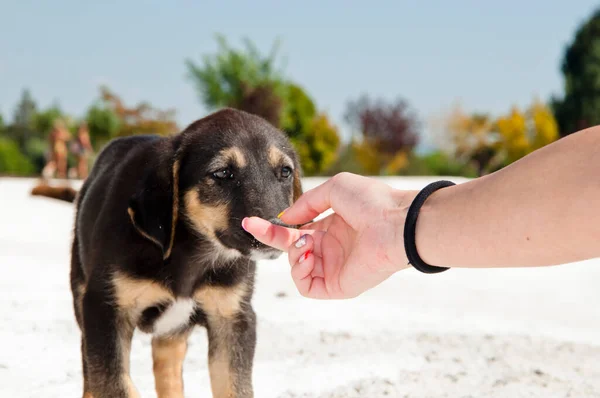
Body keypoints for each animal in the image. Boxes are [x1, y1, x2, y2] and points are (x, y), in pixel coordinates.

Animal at [69, 107, 302, 396]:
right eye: (222, 173)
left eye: (285, 172)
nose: (278, 229)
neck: (188, 254)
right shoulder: (105, 310)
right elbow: (116, 383)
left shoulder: (232, 317)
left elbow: (234, 387)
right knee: (89, 373)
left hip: (173, 332)